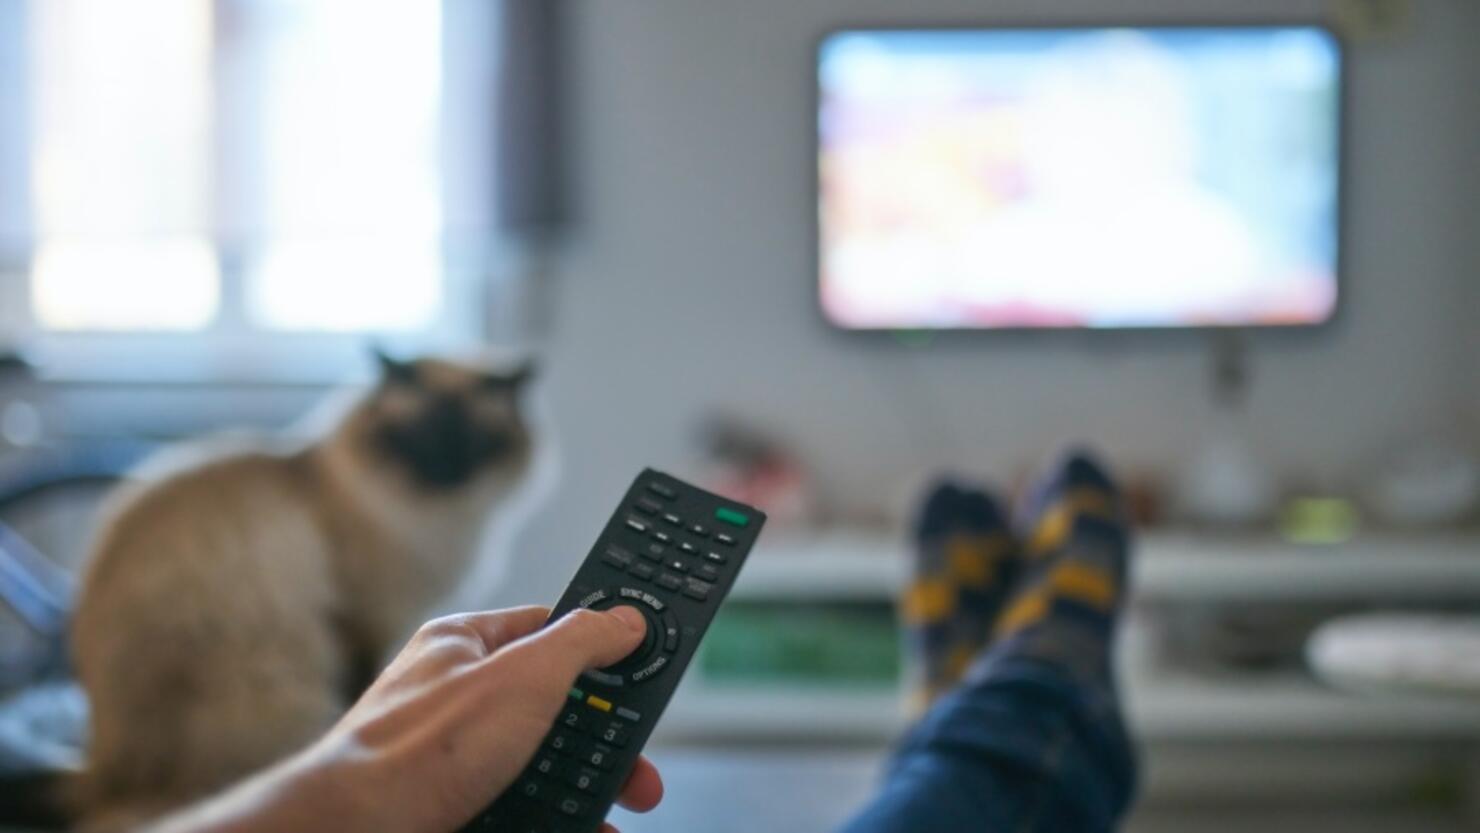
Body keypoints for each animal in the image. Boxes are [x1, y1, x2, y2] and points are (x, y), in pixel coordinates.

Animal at [66, 353, 538, 833]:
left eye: (476, 444)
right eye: (415, 440)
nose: (447, 474)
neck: (435, 522)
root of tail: (100, 770)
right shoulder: (363, 620)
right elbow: (363, 683)